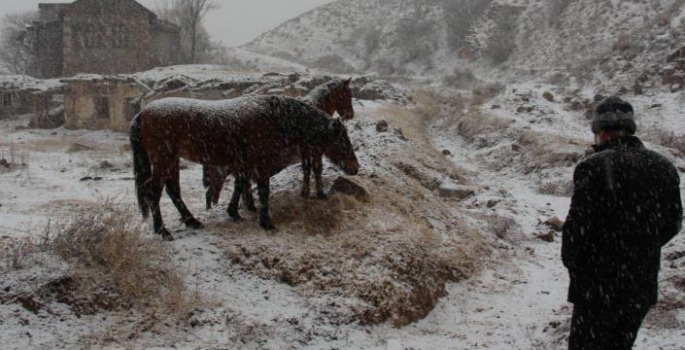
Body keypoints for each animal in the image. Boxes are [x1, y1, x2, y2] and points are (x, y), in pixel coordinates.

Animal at [130, 93, 360, 241]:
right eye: (343, 141)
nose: (355, 167)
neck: (273, 117)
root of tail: (141, 114)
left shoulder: (245, 163)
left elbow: (241, 185)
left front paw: (234, 212)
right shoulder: (261, 163)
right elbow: (263, 191)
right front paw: (266, 222)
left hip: (171, 160)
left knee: (173, 191)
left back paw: (191, 221)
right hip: (164, 159)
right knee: (153, 193)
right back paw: (162, 230)